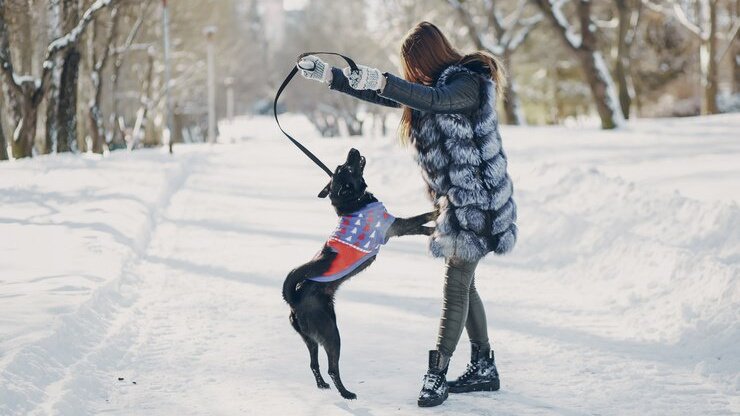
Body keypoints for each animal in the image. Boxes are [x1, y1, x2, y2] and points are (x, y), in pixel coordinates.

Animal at [282, 149, 434, 400]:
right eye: (346, 168)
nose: (353, 150)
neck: (353, 203)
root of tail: (294, 301)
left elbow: (420, 224)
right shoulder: (394, 226)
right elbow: (420, 219)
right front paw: (439, 215)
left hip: (310, 339)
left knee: (313, 363)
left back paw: (322, 384)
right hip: (331, 333)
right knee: (332, 367)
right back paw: (345, 392)